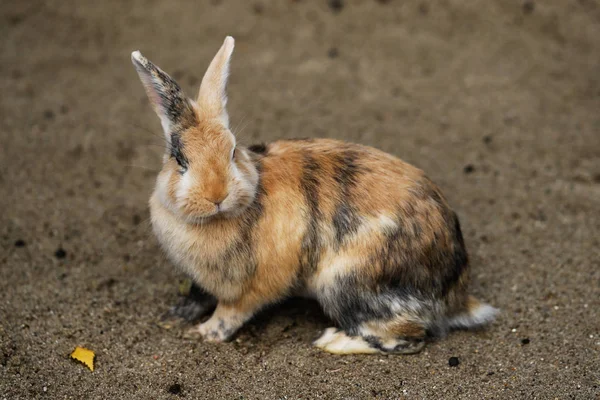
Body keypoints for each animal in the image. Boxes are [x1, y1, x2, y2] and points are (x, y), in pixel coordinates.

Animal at [131, 36, 496, 354]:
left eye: (233, 151)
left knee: (408, 338)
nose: (216, 195)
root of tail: (454, 295)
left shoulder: (251, 288)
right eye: (179, 159)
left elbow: (231, 313)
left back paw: (332, 341)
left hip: (344, 284)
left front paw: (205, 333)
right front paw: (177, 314)